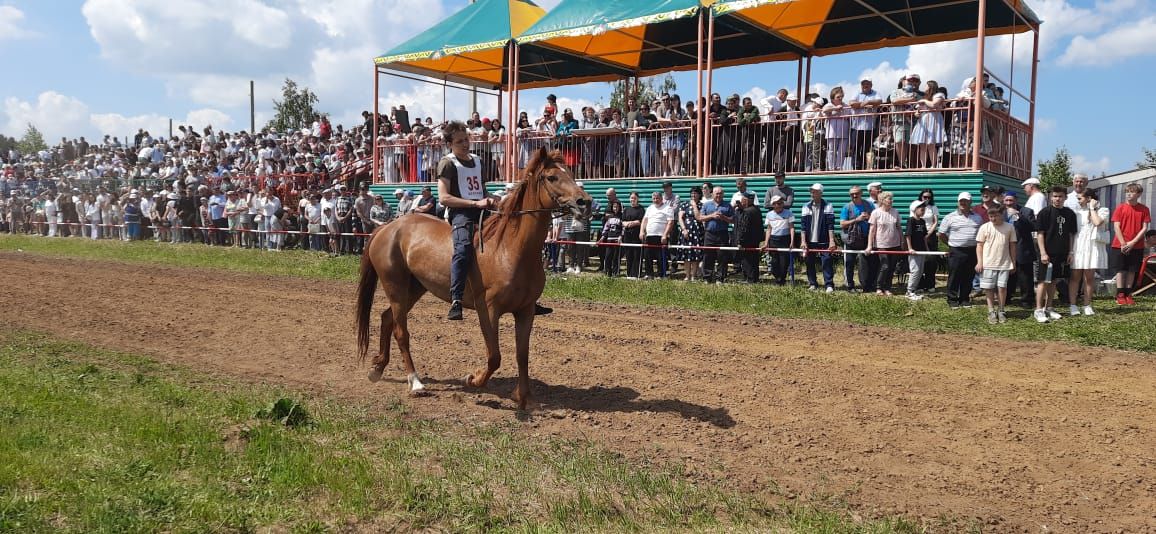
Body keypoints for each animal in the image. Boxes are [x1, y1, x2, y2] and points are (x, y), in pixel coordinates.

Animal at [351, 147, 587, 411]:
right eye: (552, 177)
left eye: (570, 173)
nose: (584, 202)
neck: (509, 248)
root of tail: (387, 228)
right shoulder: (489, 310)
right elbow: (494, 356)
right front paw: (472, 380)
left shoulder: (525, 310)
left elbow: (522, 354)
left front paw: (524, 397)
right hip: (396, 287)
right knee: (401, 332)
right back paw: (416, 383)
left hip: (414, 288)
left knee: (386, 319)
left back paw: (377, 369)